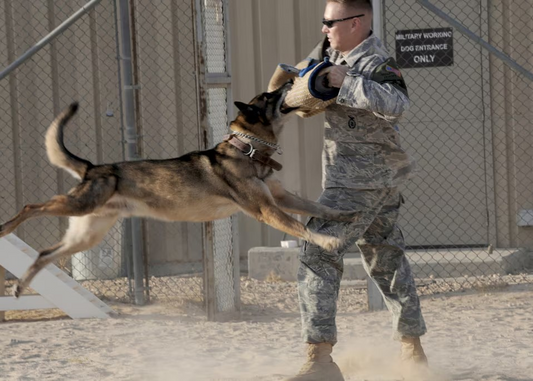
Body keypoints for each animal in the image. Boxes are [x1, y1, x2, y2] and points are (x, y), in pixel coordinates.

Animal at [2, 83, 356, 296]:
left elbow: (317, 207)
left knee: (45, 253)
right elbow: (301, 227)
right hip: (79, 206)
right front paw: (329, 240)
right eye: (269, 97)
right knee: (32, 207)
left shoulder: (281, 197)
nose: (288, 82)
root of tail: (92, 168)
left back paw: (20, 287)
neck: (247, 150)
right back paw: (5, 228)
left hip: (87, 234)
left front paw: (346, 213)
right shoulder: (266, 209)